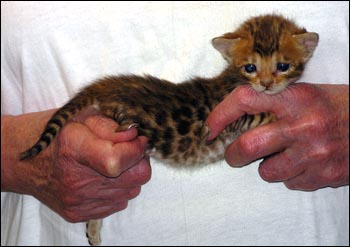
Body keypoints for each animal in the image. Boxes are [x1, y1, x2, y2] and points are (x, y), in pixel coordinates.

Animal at [20, 14, 318, 245]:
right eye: (250, 67)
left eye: (283, 66)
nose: (267, 84)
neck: (234, 78)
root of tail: (109, 86)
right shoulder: (230, 117)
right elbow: (263, 114)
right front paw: (280, 113)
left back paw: (92, 229)